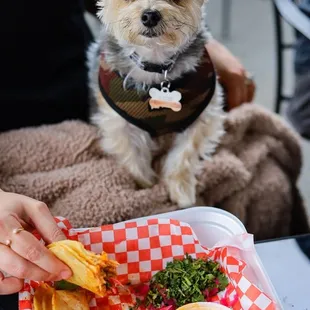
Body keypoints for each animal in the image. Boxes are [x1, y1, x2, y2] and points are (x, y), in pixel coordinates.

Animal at [87, 0, 225, 208]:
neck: (155, 62)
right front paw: (146, 186)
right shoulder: (119, 124)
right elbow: (133, 157)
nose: (150, 16)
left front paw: (181, 190)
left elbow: (185, 153)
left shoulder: (203, 116)